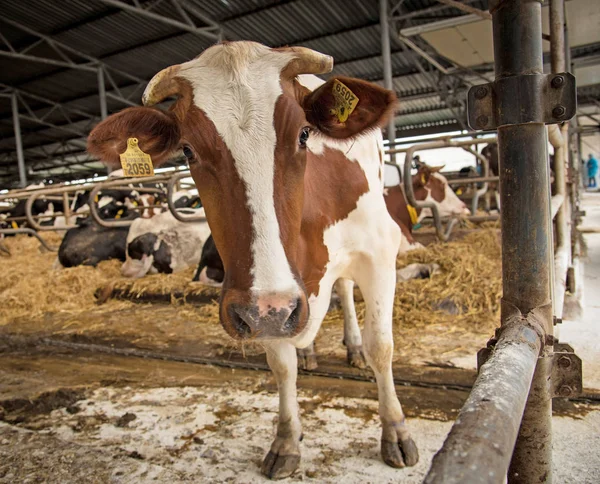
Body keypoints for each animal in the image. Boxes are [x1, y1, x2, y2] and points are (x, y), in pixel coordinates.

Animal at [86, 42, 420, 480]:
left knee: (346, 290)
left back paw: (352, 347)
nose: (269, 310)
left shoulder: (379, 253)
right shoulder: (265, 306)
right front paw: (286, 439)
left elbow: (381, 345)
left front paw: (395, 430)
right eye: (188, 150)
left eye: (303, 134)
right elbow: (281, 364)